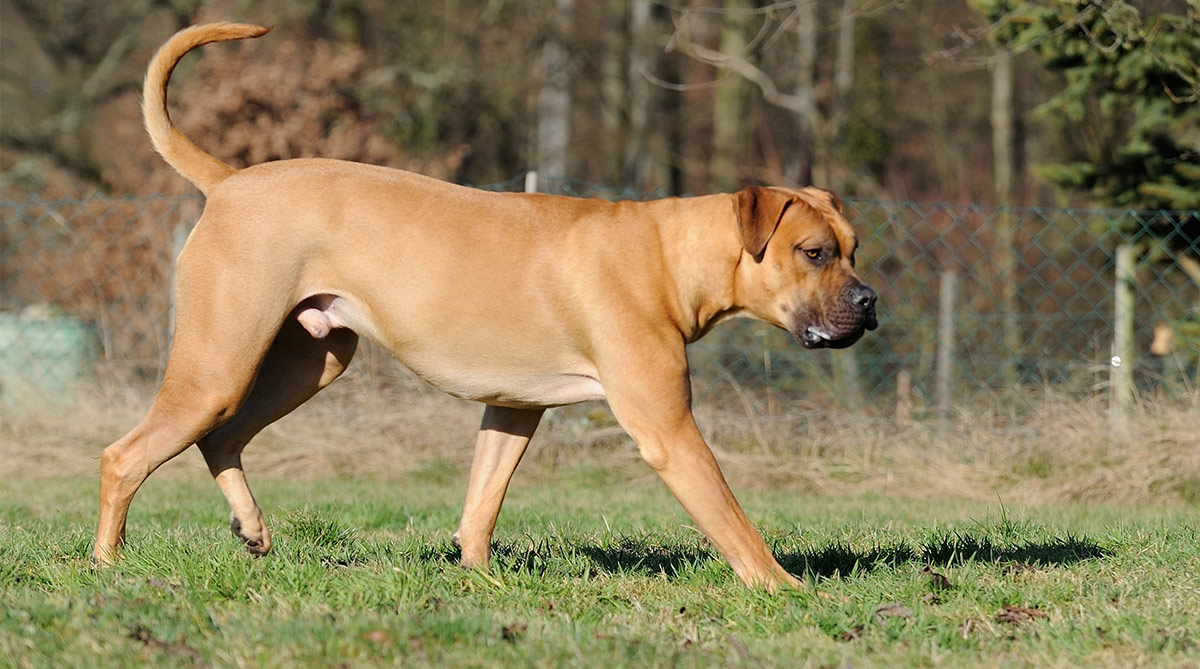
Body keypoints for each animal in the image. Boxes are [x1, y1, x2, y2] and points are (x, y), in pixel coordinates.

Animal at [93, 22, 878, 592]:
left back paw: (251, 528)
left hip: (311, 361)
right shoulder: (669, 429)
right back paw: (107, 563)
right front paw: (784, 588)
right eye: (813, 252)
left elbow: (481, 501)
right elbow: (733, 521)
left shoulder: (512, 408)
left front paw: (475, 576)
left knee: (221, 438)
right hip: (218, 364)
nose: (870, 303)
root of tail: (229, 181)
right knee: (125, 455)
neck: (669, 253)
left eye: (854, 247)